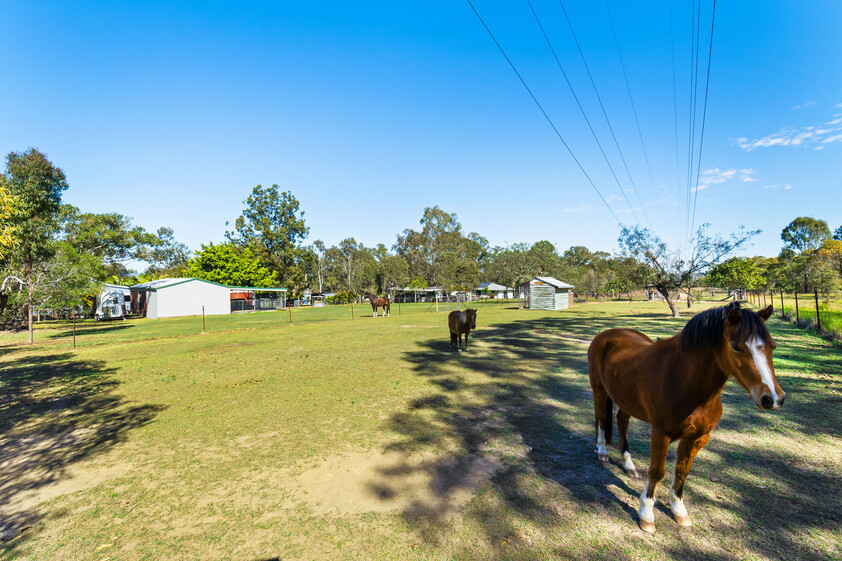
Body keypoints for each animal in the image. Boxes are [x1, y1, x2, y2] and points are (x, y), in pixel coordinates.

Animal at [587, 302, 785, 533]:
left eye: (772, 346)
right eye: (736, 347)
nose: (772, 398)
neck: (684, 381)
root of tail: (607, 334)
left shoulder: (697, 438)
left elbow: (682, 472)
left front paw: (679, 511)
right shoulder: (661, 435)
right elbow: (657, 472)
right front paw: (646, 515)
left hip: (626, 399)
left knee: (622, 422)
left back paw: (629, 465)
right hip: (599, 390)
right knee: (601, 417)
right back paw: (602, 452)